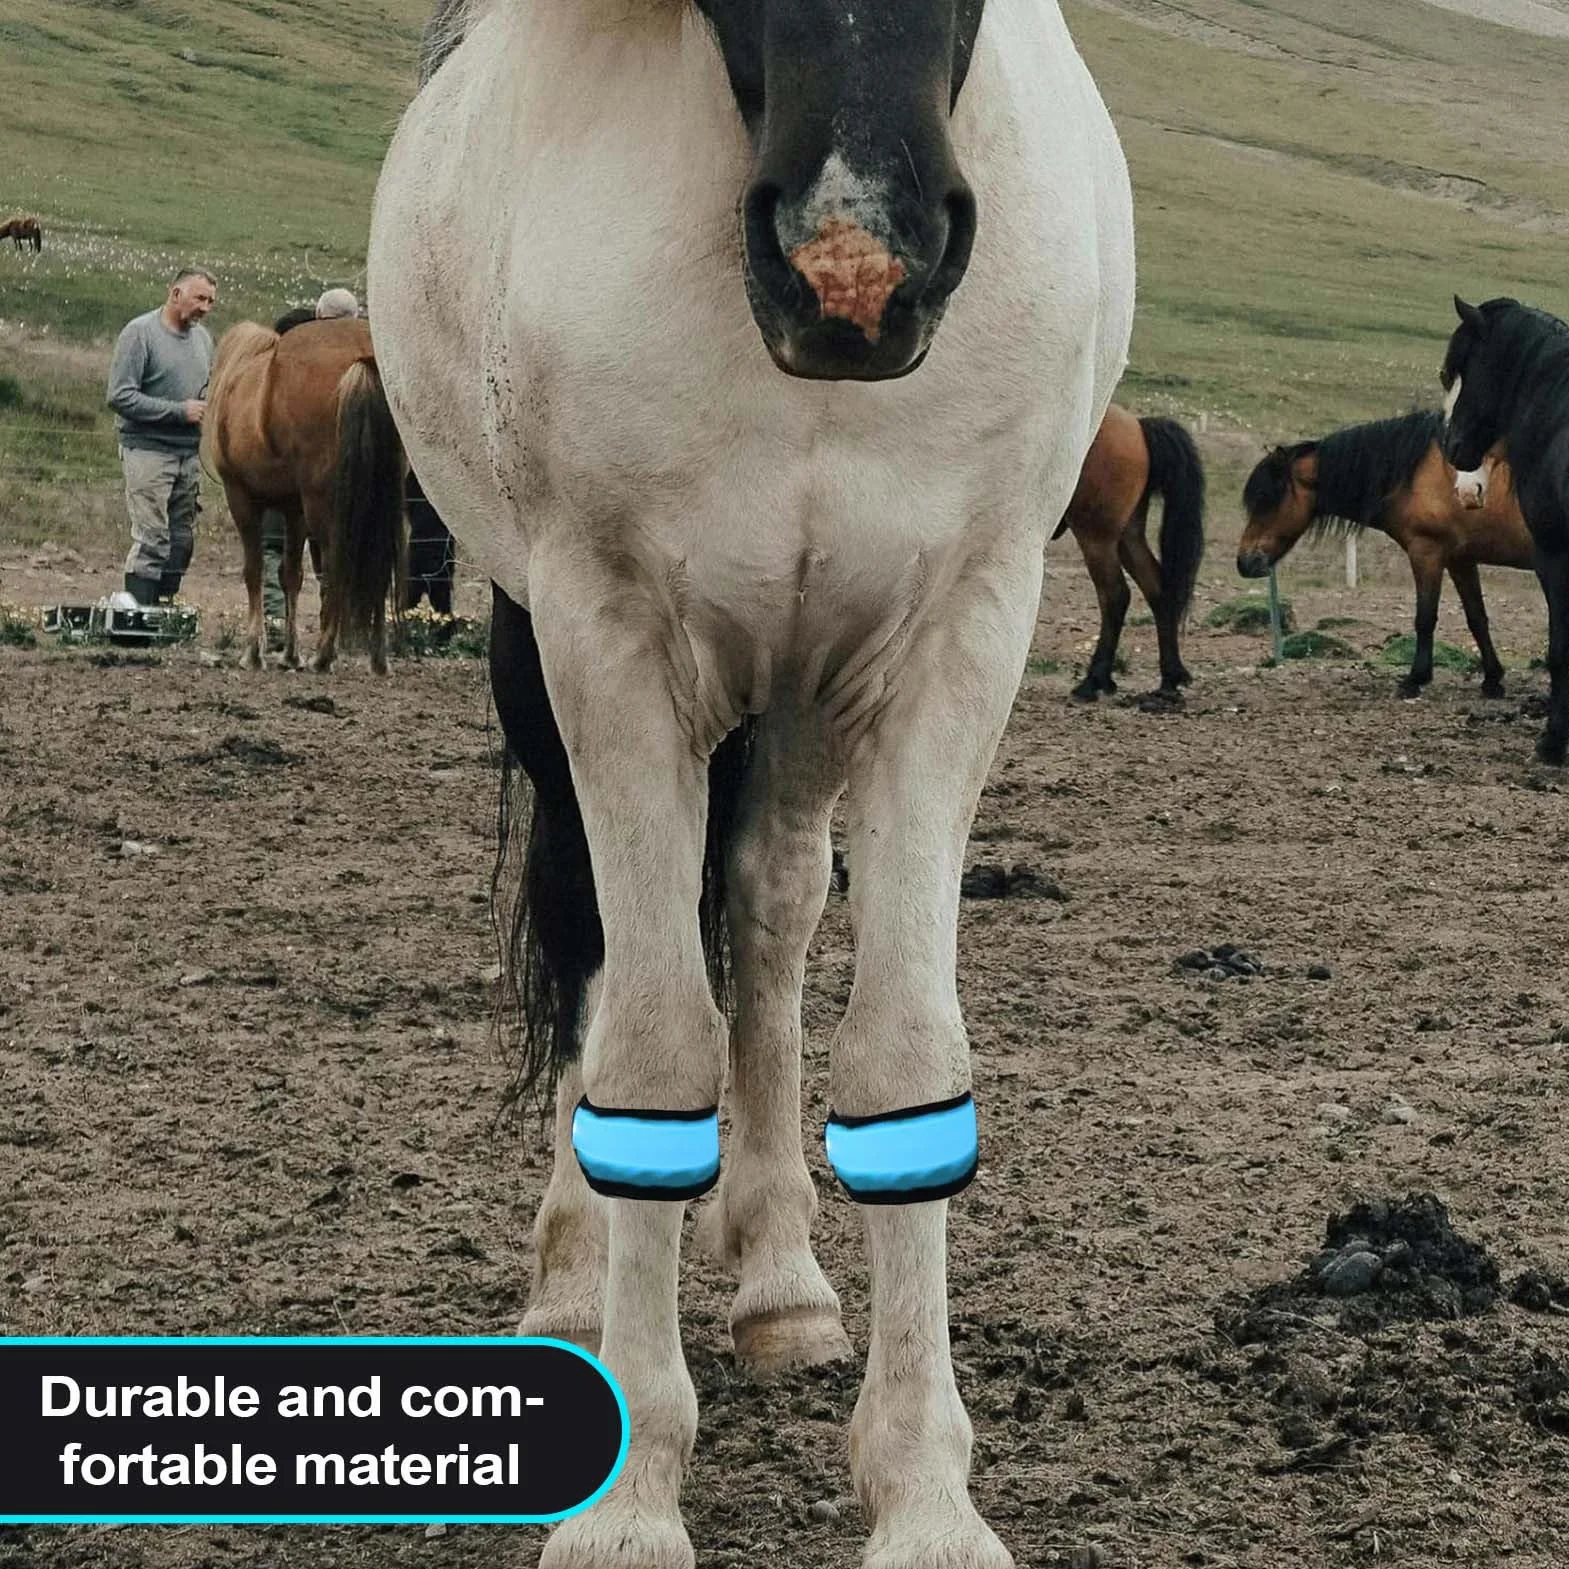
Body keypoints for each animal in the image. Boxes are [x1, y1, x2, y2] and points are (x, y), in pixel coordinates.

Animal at [200, 317, 405, 672]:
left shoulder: (241, 498)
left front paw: (253, 652)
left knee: (336, 565)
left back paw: (323, 654)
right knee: (378, 565)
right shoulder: (293, 510)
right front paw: (289, 653)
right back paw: (378, 658)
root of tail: (363, 356)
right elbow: (290, 575)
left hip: (325, 507)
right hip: (379, 504)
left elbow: (254, 571)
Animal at [359, 4, 1135, 1567]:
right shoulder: (605, 640)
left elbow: (903, 1054)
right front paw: (630, 1498)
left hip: (805, 685)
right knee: (601, 945)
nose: (857, 265)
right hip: (551, 660)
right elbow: (654, 1048)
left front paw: (924, 1493)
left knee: (771, 912)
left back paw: (781, 1279)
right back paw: (574, 1283)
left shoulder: (955, 638)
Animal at [1054, 404, 1206, 701]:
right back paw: (1169, 677)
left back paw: (1094, 680)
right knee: (1157, 590)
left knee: (1115, 595)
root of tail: (1137, 425)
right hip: (1128, 536)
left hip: (1097, 536)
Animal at [1237, 409, 1534, 698]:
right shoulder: (1460, 560)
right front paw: (1492, 680)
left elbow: (1425, 618)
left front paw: (1415, 679)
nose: (1245, 562)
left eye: (1266, 499)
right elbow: (1477, 618)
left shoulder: (1426, 553)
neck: (1421, 473)